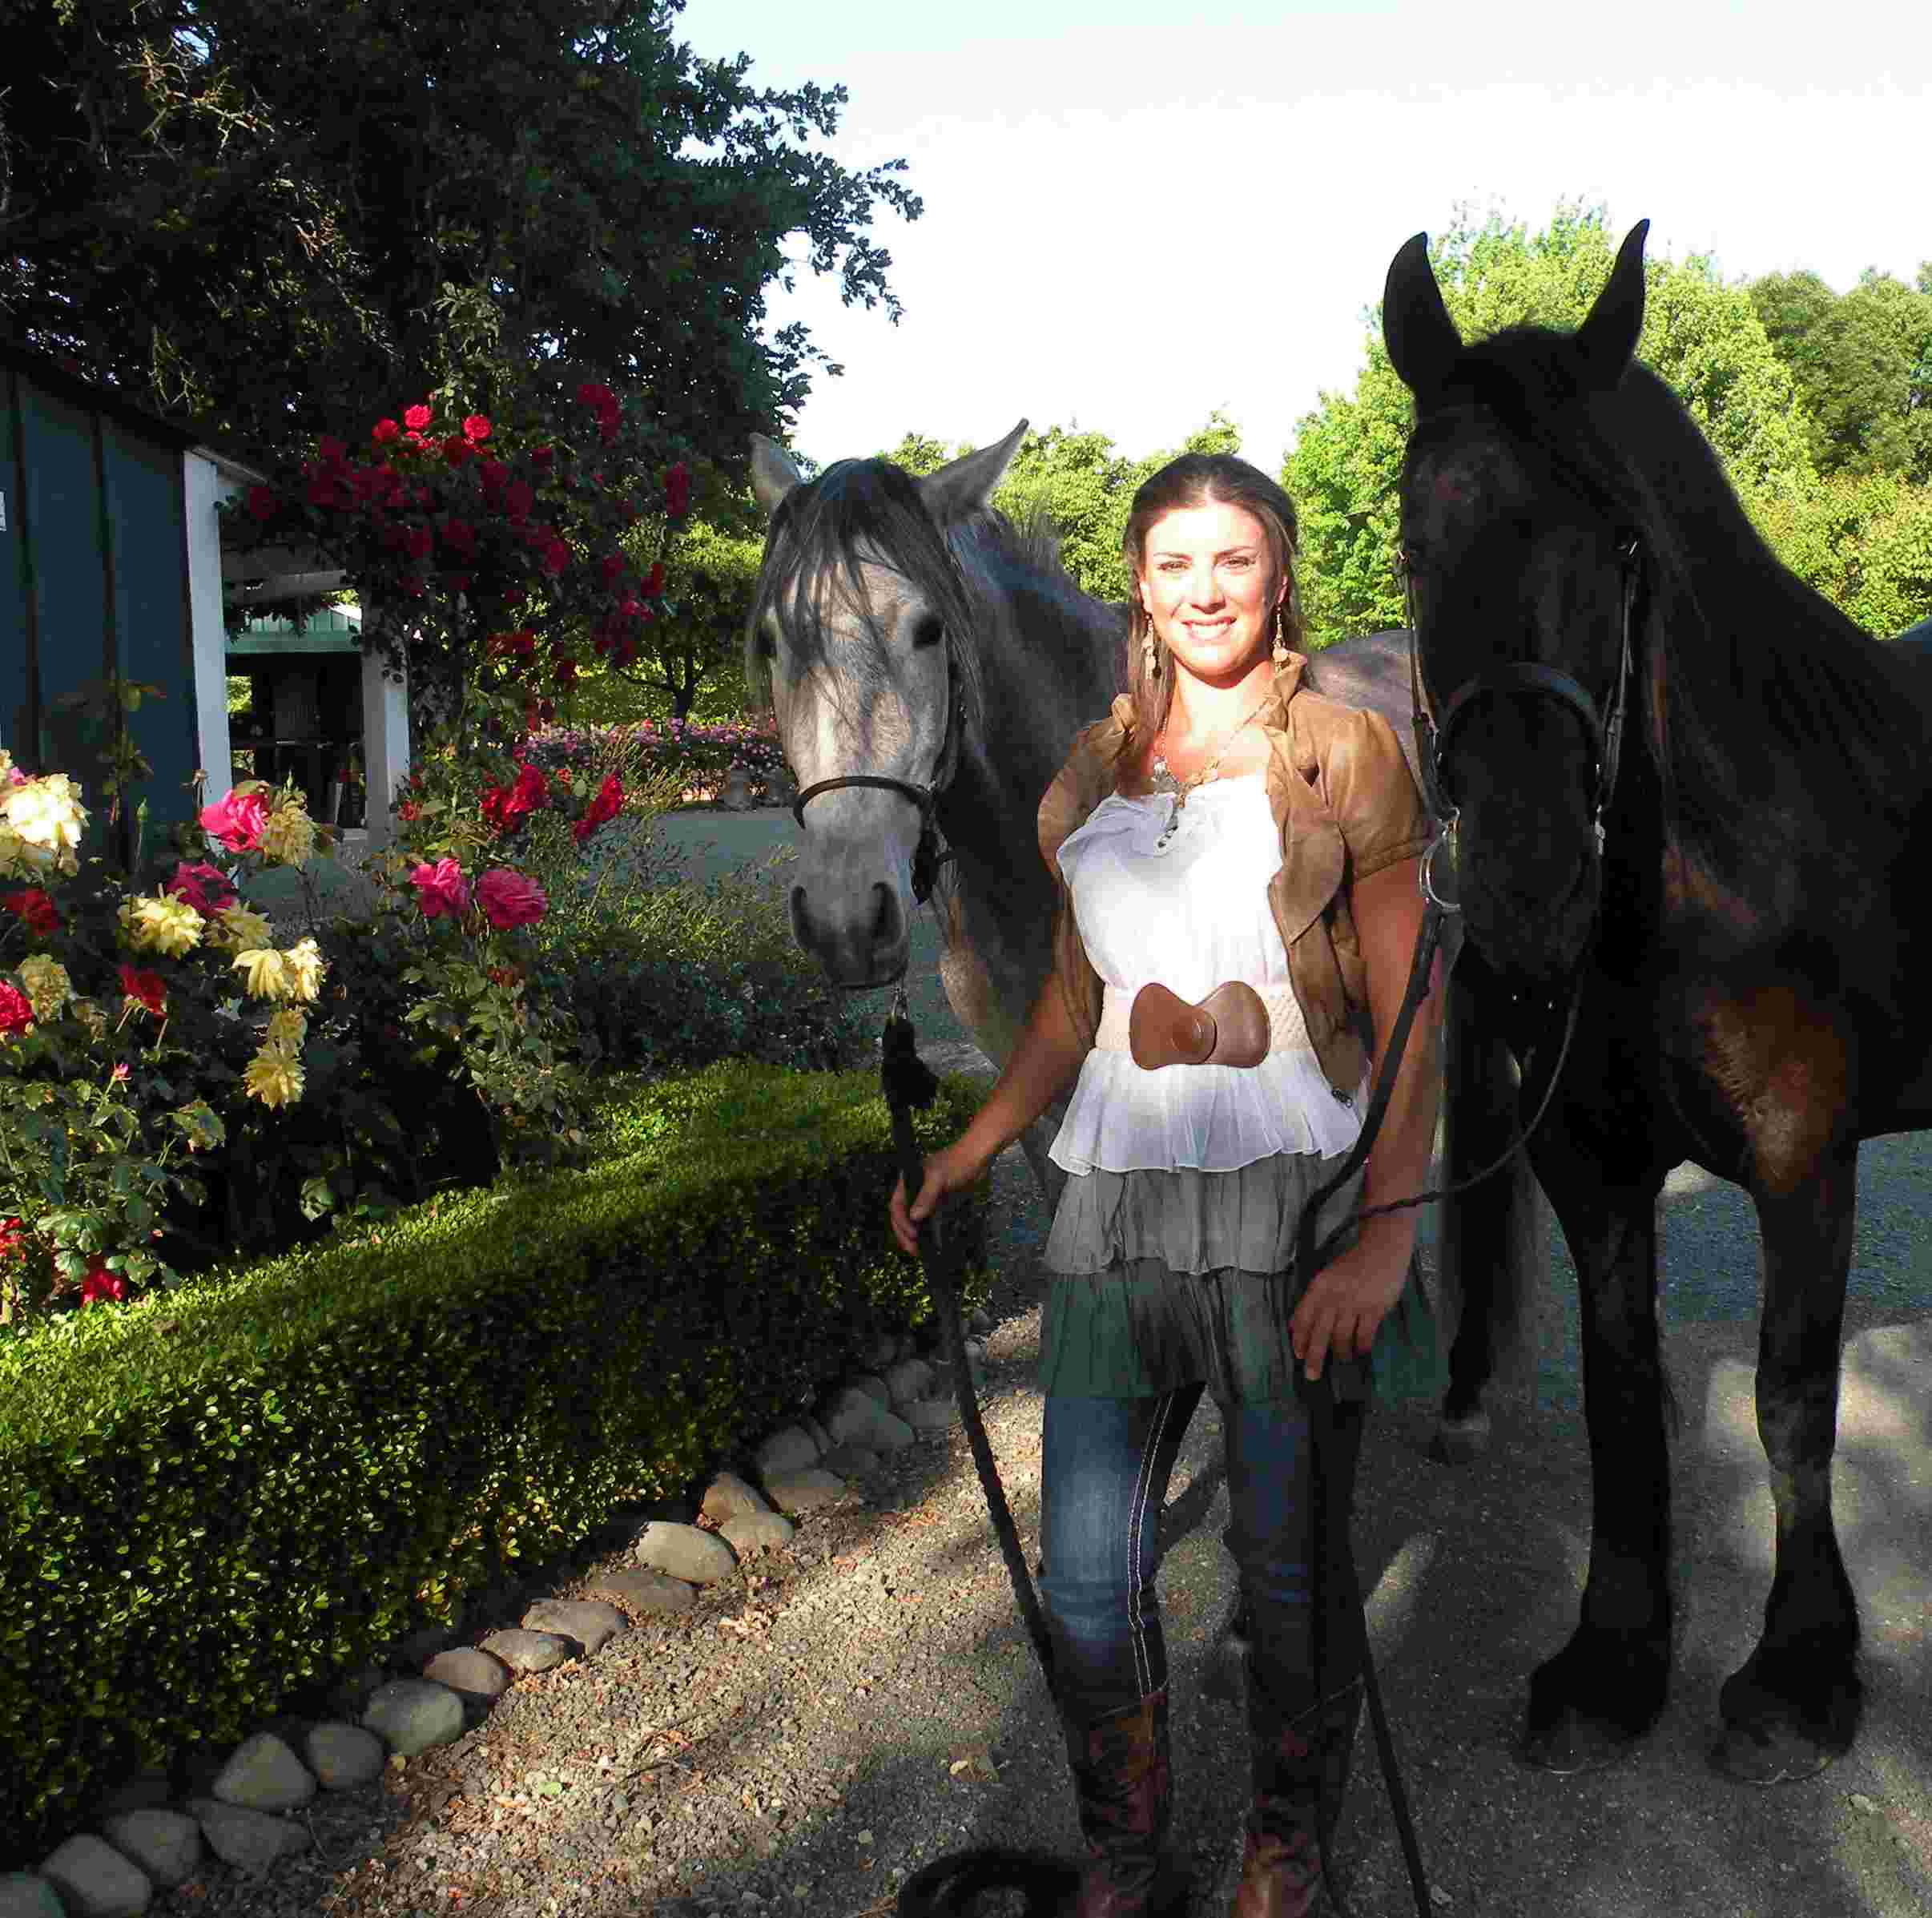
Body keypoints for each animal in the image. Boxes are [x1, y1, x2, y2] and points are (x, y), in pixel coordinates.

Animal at [1391, 221, 1932, 1784]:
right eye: (1412, 535)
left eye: (1621, 544)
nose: (1524, 892)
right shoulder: (1595, 1171)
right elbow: (1620, 1391)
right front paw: (1613, 1656)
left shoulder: (1805, 1161)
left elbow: (1791, 1403)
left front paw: (1799, 1672)